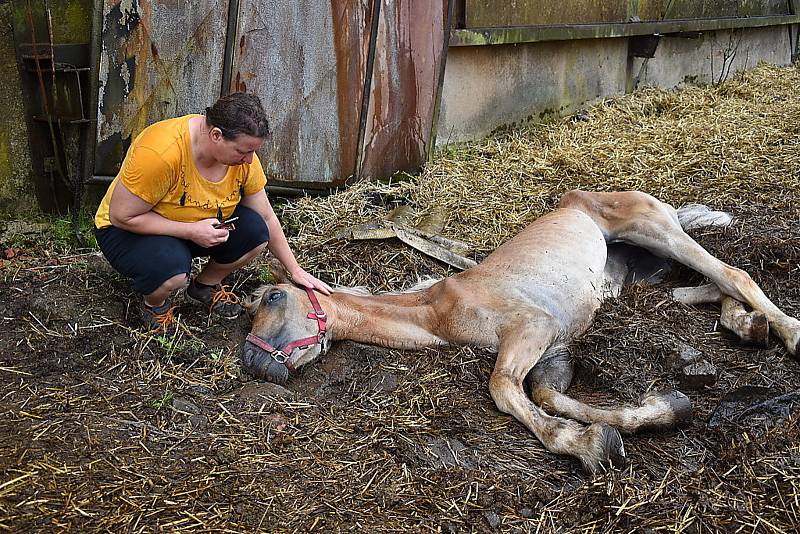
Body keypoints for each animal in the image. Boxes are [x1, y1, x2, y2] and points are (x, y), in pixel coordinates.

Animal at [239, 192, 800, 474]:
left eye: (272, 298)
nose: (252, 363)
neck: (438, 310)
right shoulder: (556, 347)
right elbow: (548, 393)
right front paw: (654, 414)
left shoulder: (534, 327)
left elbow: (504, 388)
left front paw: (585, 445)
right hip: (637, 279)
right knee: (705, 287)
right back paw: (750, 325)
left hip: (656, 233)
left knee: (732, 273)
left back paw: (788, 332)